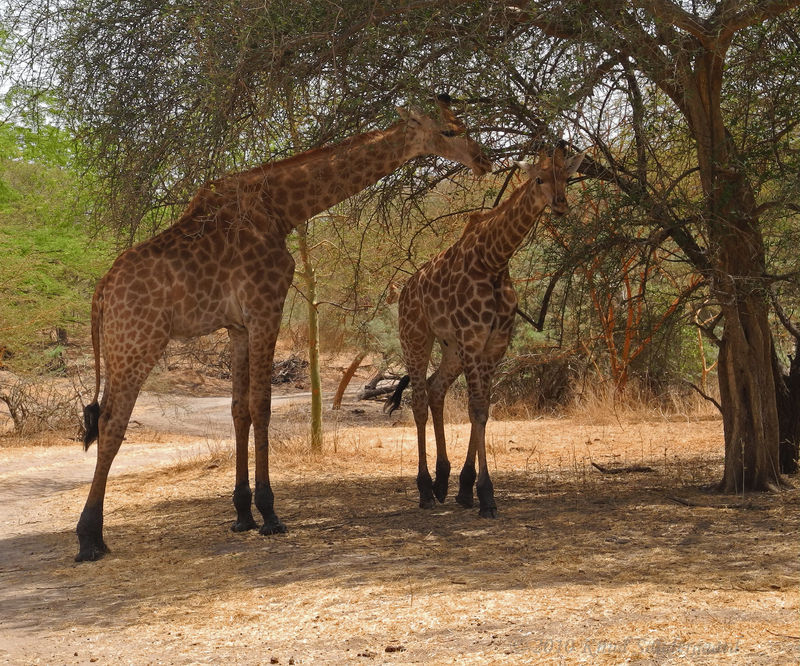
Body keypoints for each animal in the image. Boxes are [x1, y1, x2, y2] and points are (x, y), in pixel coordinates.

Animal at [76, 96, 494, 556]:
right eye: (450, 131)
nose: (484, 159)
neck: (281, 209)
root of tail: (101, 291)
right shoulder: (265, 307)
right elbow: (262, 405)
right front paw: (270, 513)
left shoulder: (238, 326)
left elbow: (239, 409)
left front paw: (242, 514)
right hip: (138, 342)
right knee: (111, 422)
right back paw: (90, 539)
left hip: (124, 346)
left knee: (104, 420)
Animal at [386, 147, 580, 512]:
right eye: (539, 178)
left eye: (567, 176)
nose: (561, 204)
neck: (495, 260)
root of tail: (404, 290)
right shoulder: (474, 340)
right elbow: (476, 409)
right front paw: (486, 496)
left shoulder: (493, 344)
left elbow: (483, 410)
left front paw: (466, 489)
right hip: (415, 337)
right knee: (418, 400)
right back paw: (424, 490)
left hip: (450, 347)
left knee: (435, 389)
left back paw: (441, 482)